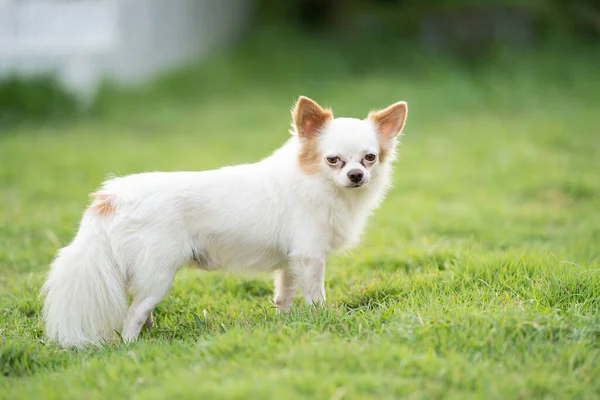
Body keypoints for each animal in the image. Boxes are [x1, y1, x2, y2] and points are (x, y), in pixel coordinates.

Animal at [41, 96, 408, 346]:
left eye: (370, 157)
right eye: (333, 160)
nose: (357, 175)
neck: (320, 185)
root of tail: (112, 196)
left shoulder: (291, 259)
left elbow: (284, 294)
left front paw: (288, 323)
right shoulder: (309, 256)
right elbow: (316, 294)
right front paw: (321, 319)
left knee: (138, 308)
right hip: (159, 274)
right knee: (132, 314)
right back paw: (130, 348)